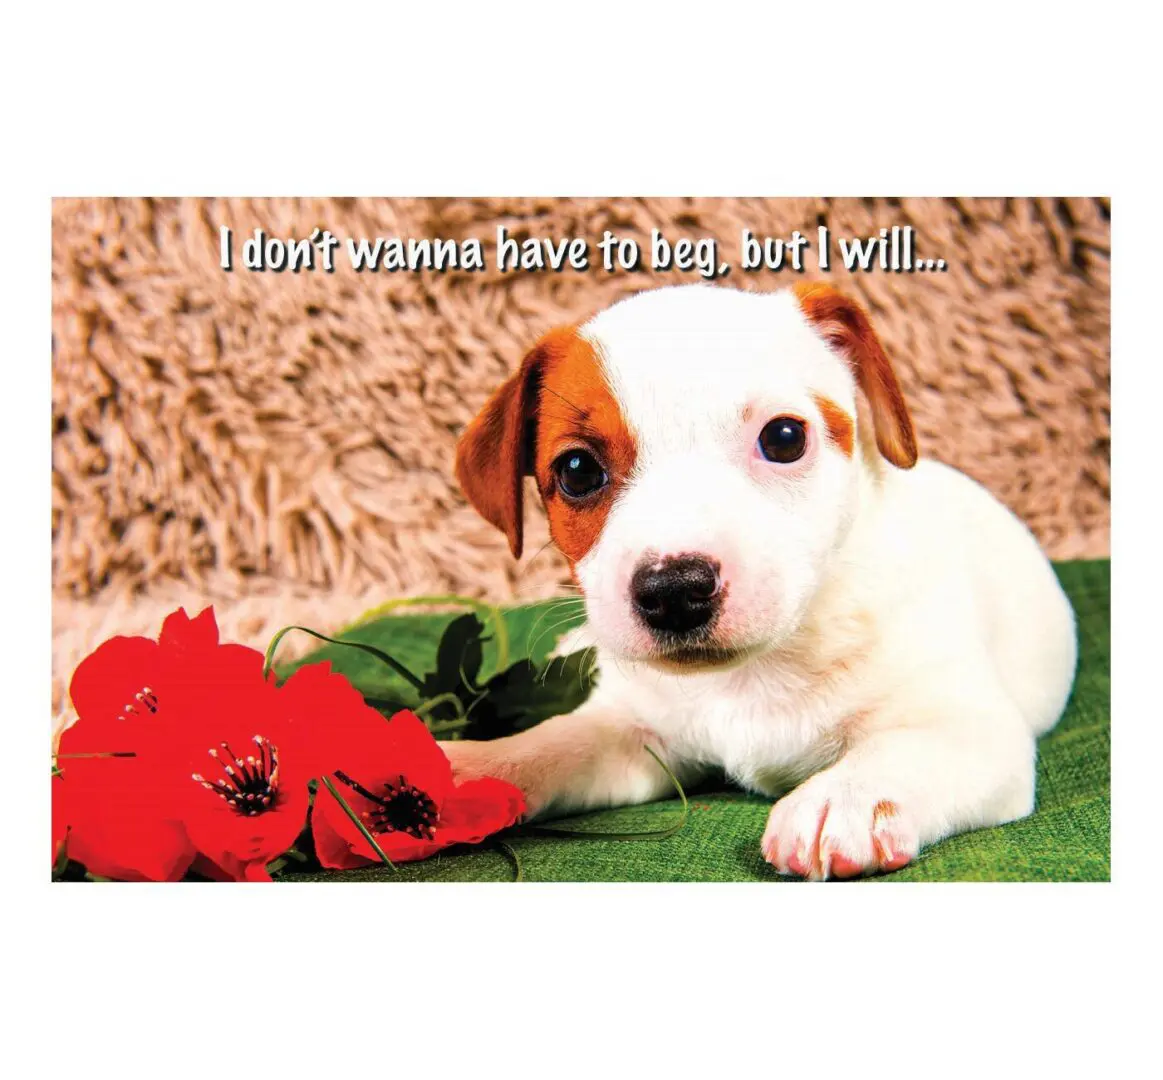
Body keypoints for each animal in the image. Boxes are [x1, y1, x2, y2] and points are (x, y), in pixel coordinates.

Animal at [441, 282, 1069, 878]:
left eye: (785, 438)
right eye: (576, 471)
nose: (675, 591)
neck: (753, 675)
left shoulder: (973, 727)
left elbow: (907, 749)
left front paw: (847, 798)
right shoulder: (632, 732)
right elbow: (555, 744)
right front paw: (472, 766)